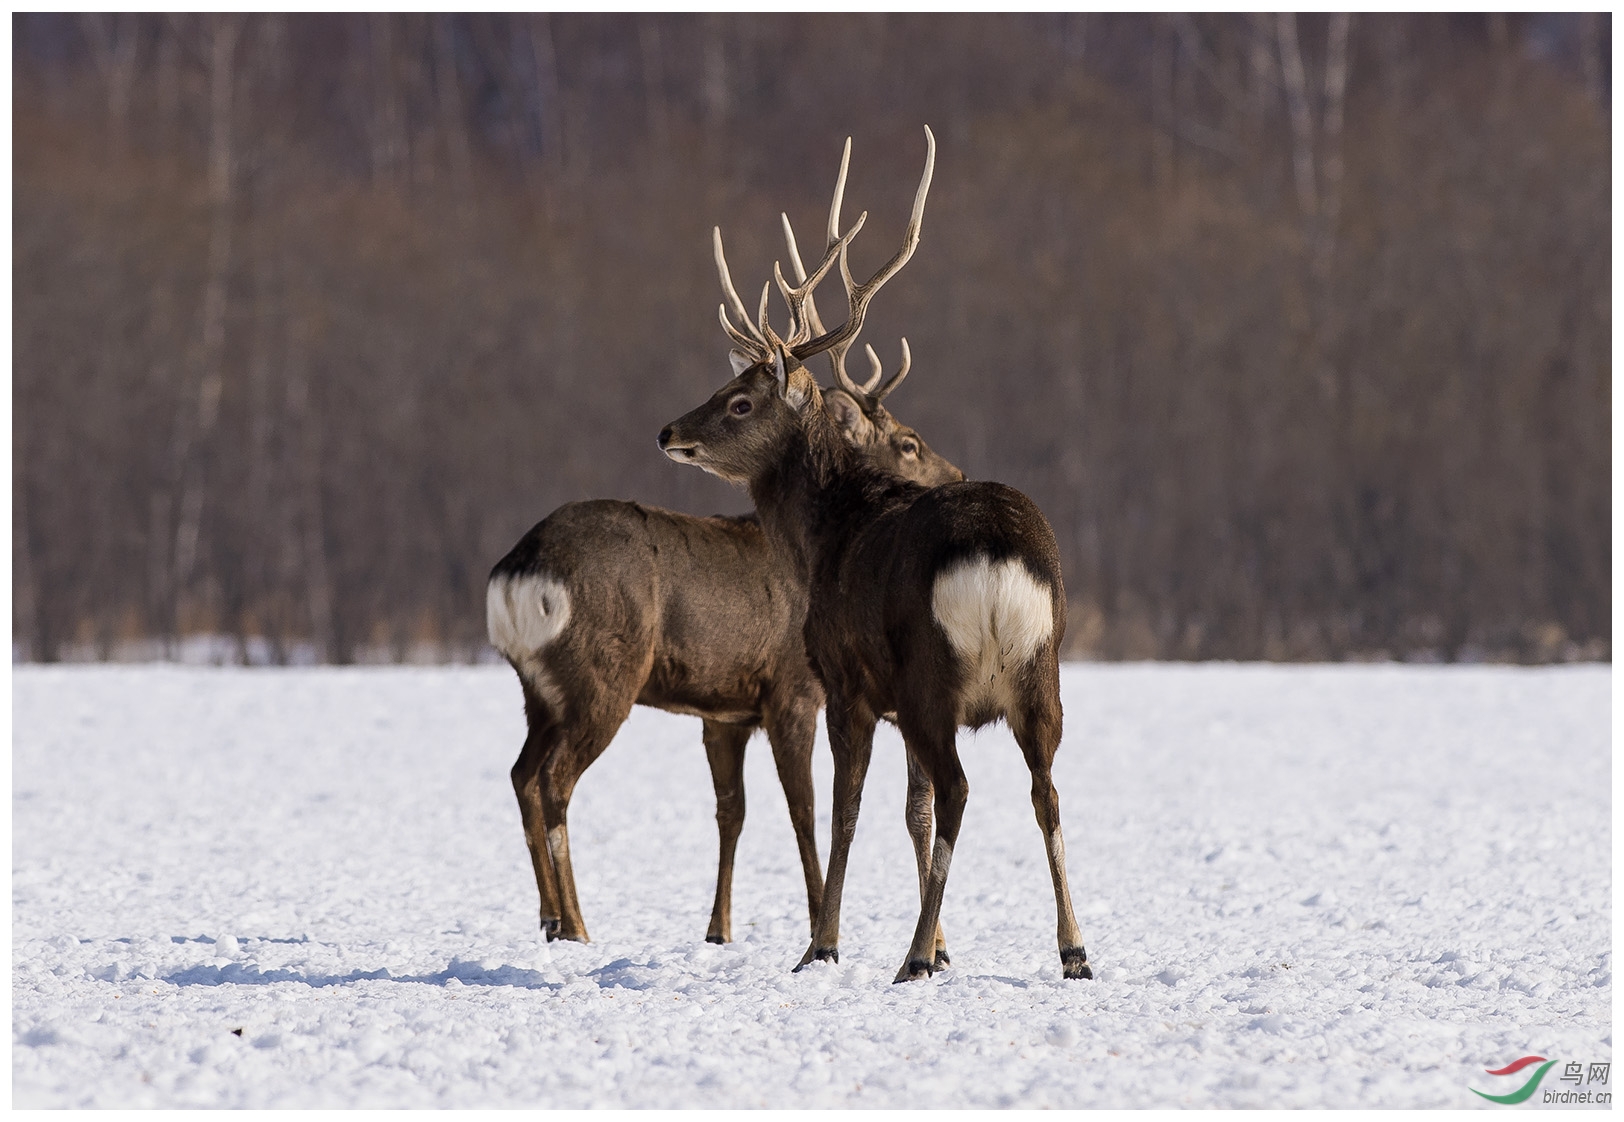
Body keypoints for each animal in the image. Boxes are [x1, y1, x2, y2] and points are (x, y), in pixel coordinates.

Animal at [486, 205, 961, 949]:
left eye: (733, 397)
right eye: (908, 442)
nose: (956, 474)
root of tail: (519, 568)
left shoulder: (724, 709)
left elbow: (731, 812)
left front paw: (719, 930)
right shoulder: (792, 688)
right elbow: (803, 812)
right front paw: (820, 926)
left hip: (539, 688)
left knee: (520, 774)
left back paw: (551, 919)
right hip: (602, 675)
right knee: (554, 783)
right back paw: (577, 926)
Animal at [658, 127, 1092, 983]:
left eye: (740, 402)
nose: (668, 432)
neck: (823, 538)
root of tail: (998, 556)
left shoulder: (848, 682)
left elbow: (846, 810)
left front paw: (822, 944)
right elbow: (910, 810)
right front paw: (941, 945)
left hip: (932, 672)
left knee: (962, 789)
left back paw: (913, 957)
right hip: (1041, 671)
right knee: (1046, 791)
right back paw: (1073, 949)